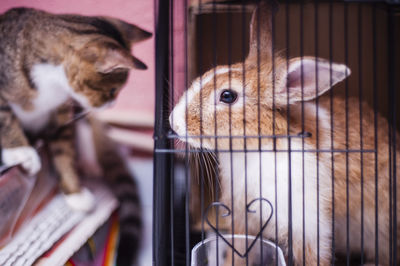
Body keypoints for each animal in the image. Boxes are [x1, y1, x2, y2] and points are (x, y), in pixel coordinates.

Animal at [0, 6, 152, 264]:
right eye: (113, 90)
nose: (112, 105)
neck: (49, 87)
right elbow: (7, 119)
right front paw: (21, 151)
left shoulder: (62, 116)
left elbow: (64, 153)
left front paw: (75, 192)